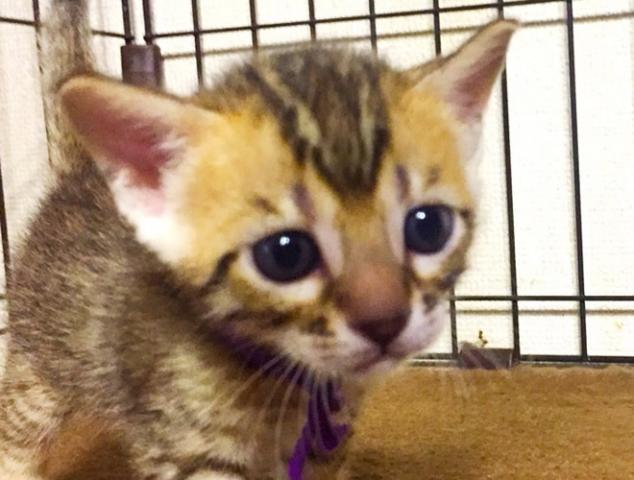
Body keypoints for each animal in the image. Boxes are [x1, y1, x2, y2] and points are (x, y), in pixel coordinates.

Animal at [0, 1, 518, 479]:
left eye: (428, 228)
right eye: (285, 255)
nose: (385, 321)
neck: (284, 377)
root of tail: (82, 170)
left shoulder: (327, 444)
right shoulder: (187, 451)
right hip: (40, 363)